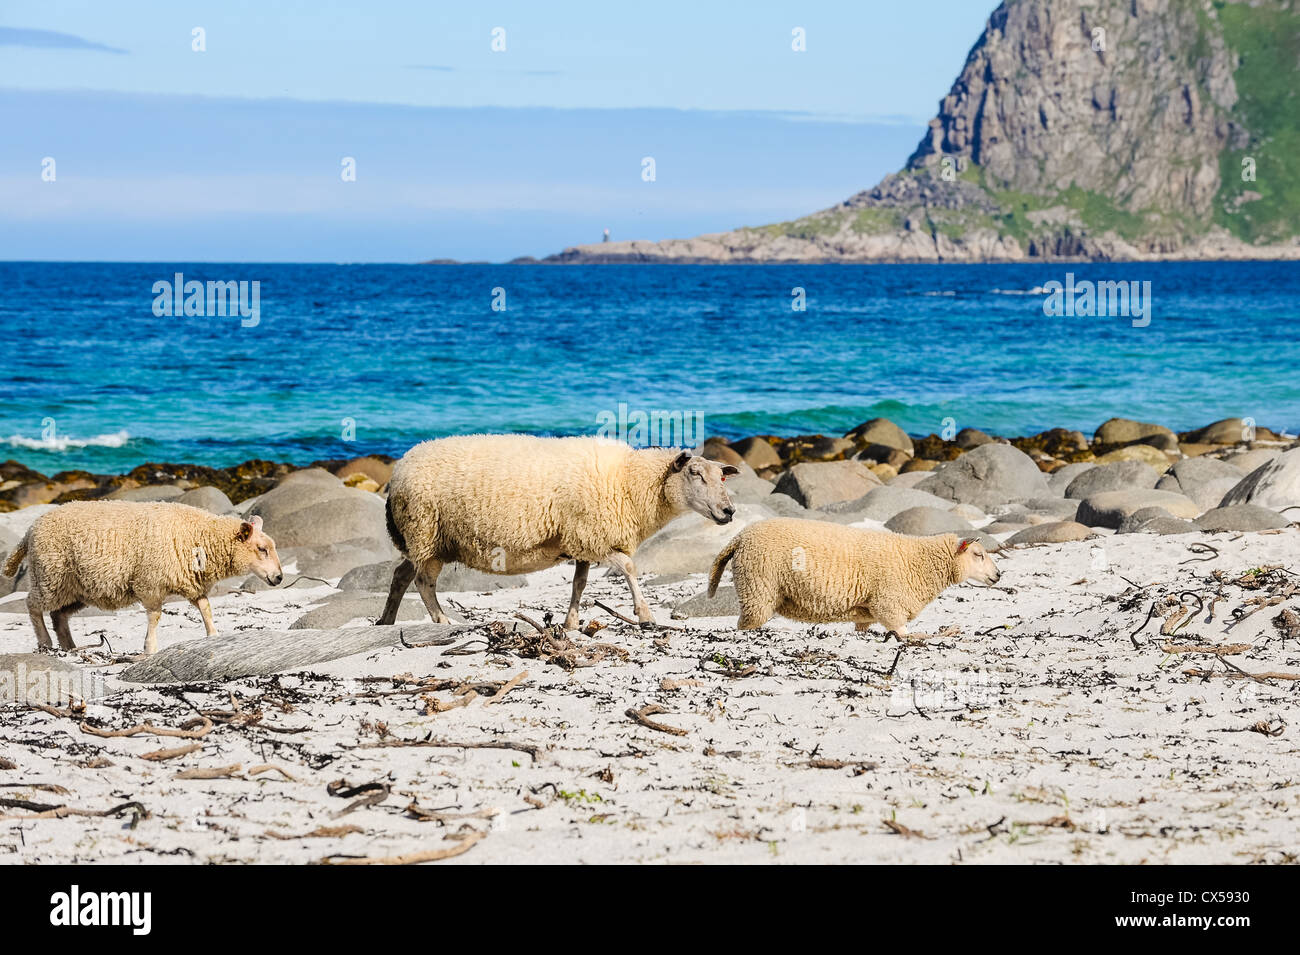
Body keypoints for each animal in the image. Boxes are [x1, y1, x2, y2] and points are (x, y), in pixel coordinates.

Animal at [2, 501, 283, 657]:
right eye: (262, 549)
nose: (279, 577)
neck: (198, 536)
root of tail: (30, 530)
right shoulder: (150, 583)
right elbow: (155, 617)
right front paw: (150, 647)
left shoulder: (190, 583)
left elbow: (206, 608)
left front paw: (213, 635)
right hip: (50, 576)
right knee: (32, 606)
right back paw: (45, 642)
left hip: (77, 588)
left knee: (58, 616)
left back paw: (69, 646)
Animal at [379, 433, 738, 631]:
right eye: (694, 473)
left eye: (722, 477)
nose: (729, 512)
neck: (628, 482)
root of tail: (398, 471)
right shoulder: (594, 536)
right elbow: (629, 566)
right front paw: (645, 614)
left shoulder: (583, 541)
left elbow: (579, 583)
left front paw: (571, 623)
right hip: (425, 530)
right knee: (423, 582)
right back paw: (442, 621)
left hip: (424, 540)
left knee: (400, 575)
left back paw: (386, 621)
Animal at [707, 514, 998, 634]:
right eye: (978, 554)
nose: (998, 575)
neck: (918, 560)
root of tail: (739, 537)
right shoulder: (888, 603)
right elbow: (905, 634)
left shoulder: (867, 612)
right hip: (758, 588)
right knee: (745, 624)